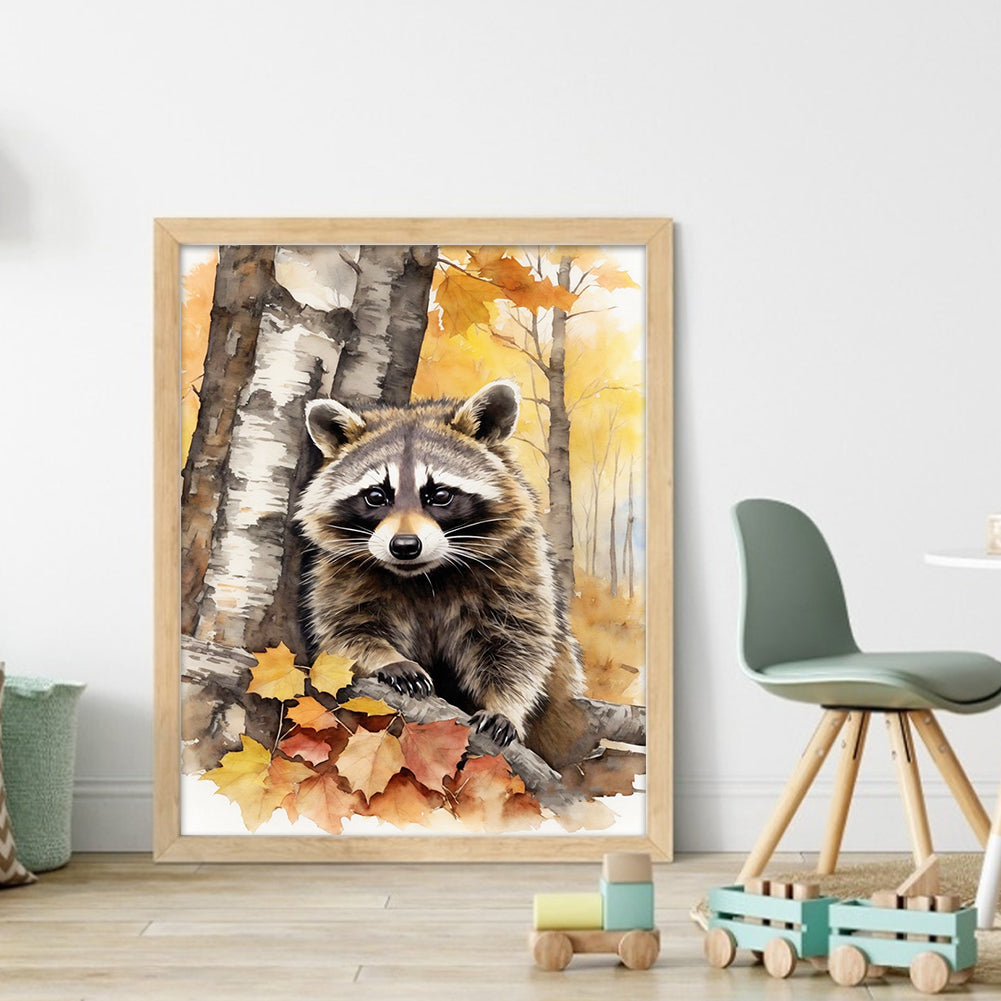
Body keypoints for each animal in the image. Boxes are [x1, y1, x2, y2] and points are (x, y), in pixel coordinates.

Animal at [295, 379, 588, 769]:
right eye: (376, 496)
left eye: (440, 495)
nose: (404, 546)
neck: (425, 575)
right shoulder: (340, 572)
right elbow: (345, 633)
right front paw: (389, 659)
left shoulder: (518, 564)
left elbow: (518, 645)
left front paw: (504, 705)